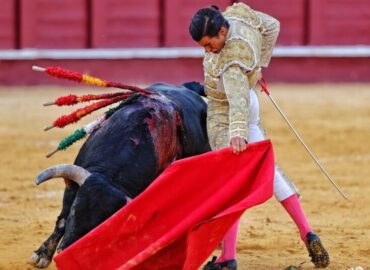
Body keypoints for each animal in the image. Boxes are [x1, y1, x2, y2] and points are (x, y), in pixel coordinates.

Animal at [29, 81, 211, 266]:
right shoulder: (73, 185)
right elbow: (62, 220)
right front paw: (41, 255)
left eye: (102, 226)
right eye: (75, 210)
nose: (65, 252)